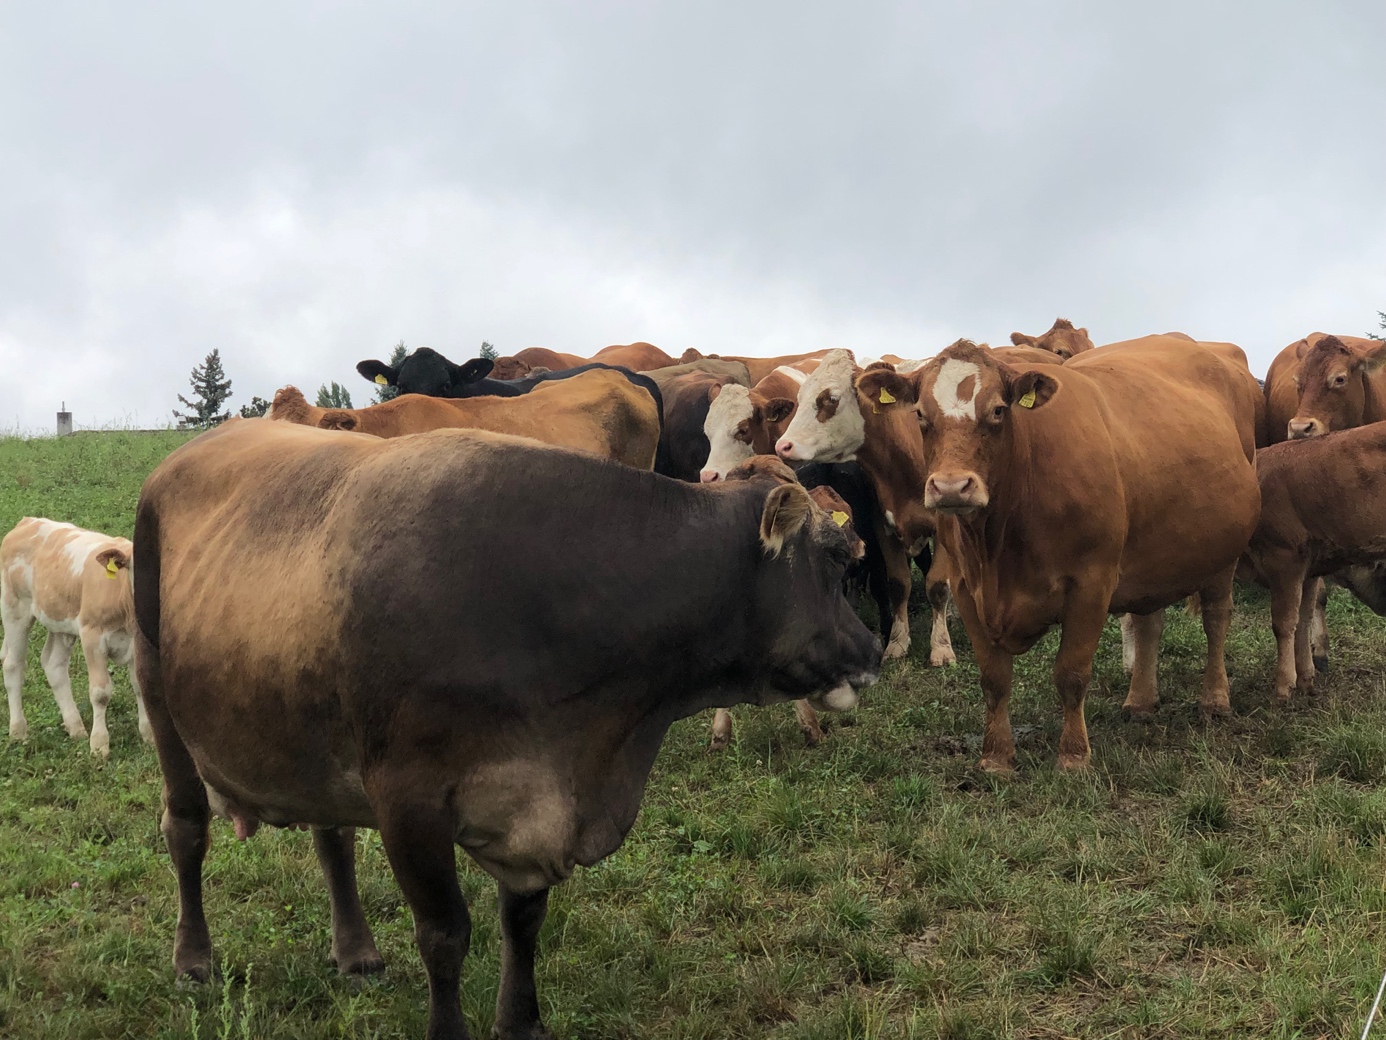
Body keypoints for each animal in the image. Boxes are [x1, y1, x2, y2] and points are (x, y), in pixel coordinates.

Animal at [2, 518, 153, 759]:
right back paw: (18, 731)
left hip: (60, 621)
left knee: (53, 665)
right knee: (13, 666)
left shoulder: (137, 642)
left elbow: (140, 685)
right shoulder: (92, 636)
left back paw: (76, 727)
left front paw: (148, 736)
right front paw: (99, 745)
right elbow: (100, 693)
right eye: (135, 570)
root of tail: (29, 521)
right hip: (14, 608)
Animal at [132, 418, 875, 1040]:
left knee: (332, 835)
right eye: (836, 558)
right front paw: (449, 1029)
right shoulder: (409, 796)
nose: (871, 650)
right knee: (185, 827)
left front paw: (521, 1022)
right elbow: (444, 933)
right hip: (158, 692)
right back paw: (194, 958)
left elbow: (523, 920)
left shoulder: (538, 796)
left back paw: (357, 949)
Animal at [875, 339, 1269, 776]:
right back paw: (1141, 700)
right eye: (920, 415)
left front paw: (1074, 755)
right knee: (1149, 623)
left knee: (1216, 618)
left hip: (1223, 555)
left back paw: (1215, 698)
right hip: (1154, 558)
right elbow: (994, 678)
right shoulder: (966, 587)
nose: (951, 487)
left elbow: (1071, 673)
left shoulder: (1091, 583)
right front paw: (996, 756)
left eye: (998, 410)